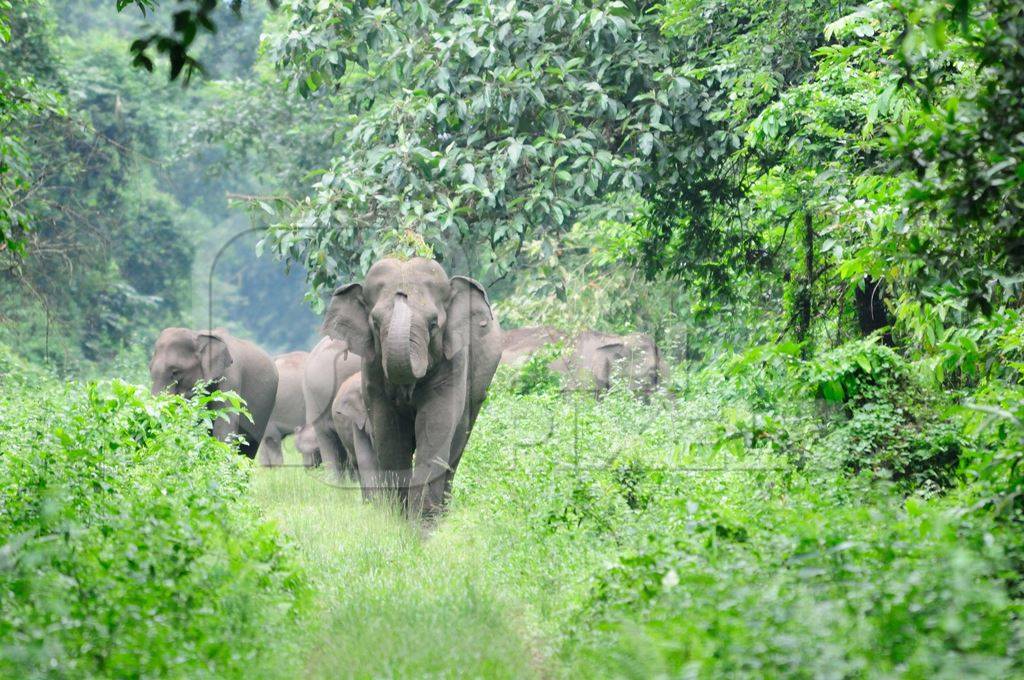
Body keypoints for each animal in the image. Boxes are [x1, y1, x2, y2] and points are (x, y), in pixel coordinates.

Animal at [321, 258, 501, 518]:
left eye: (434, 324)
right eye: (375, 323)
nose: (401, 293)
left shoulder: (454, 363)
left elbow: (435, 428)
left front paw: (422, 522)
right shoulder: (372, 370)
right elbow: (389, 434)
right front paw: (398, 518)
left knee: (456, 446)